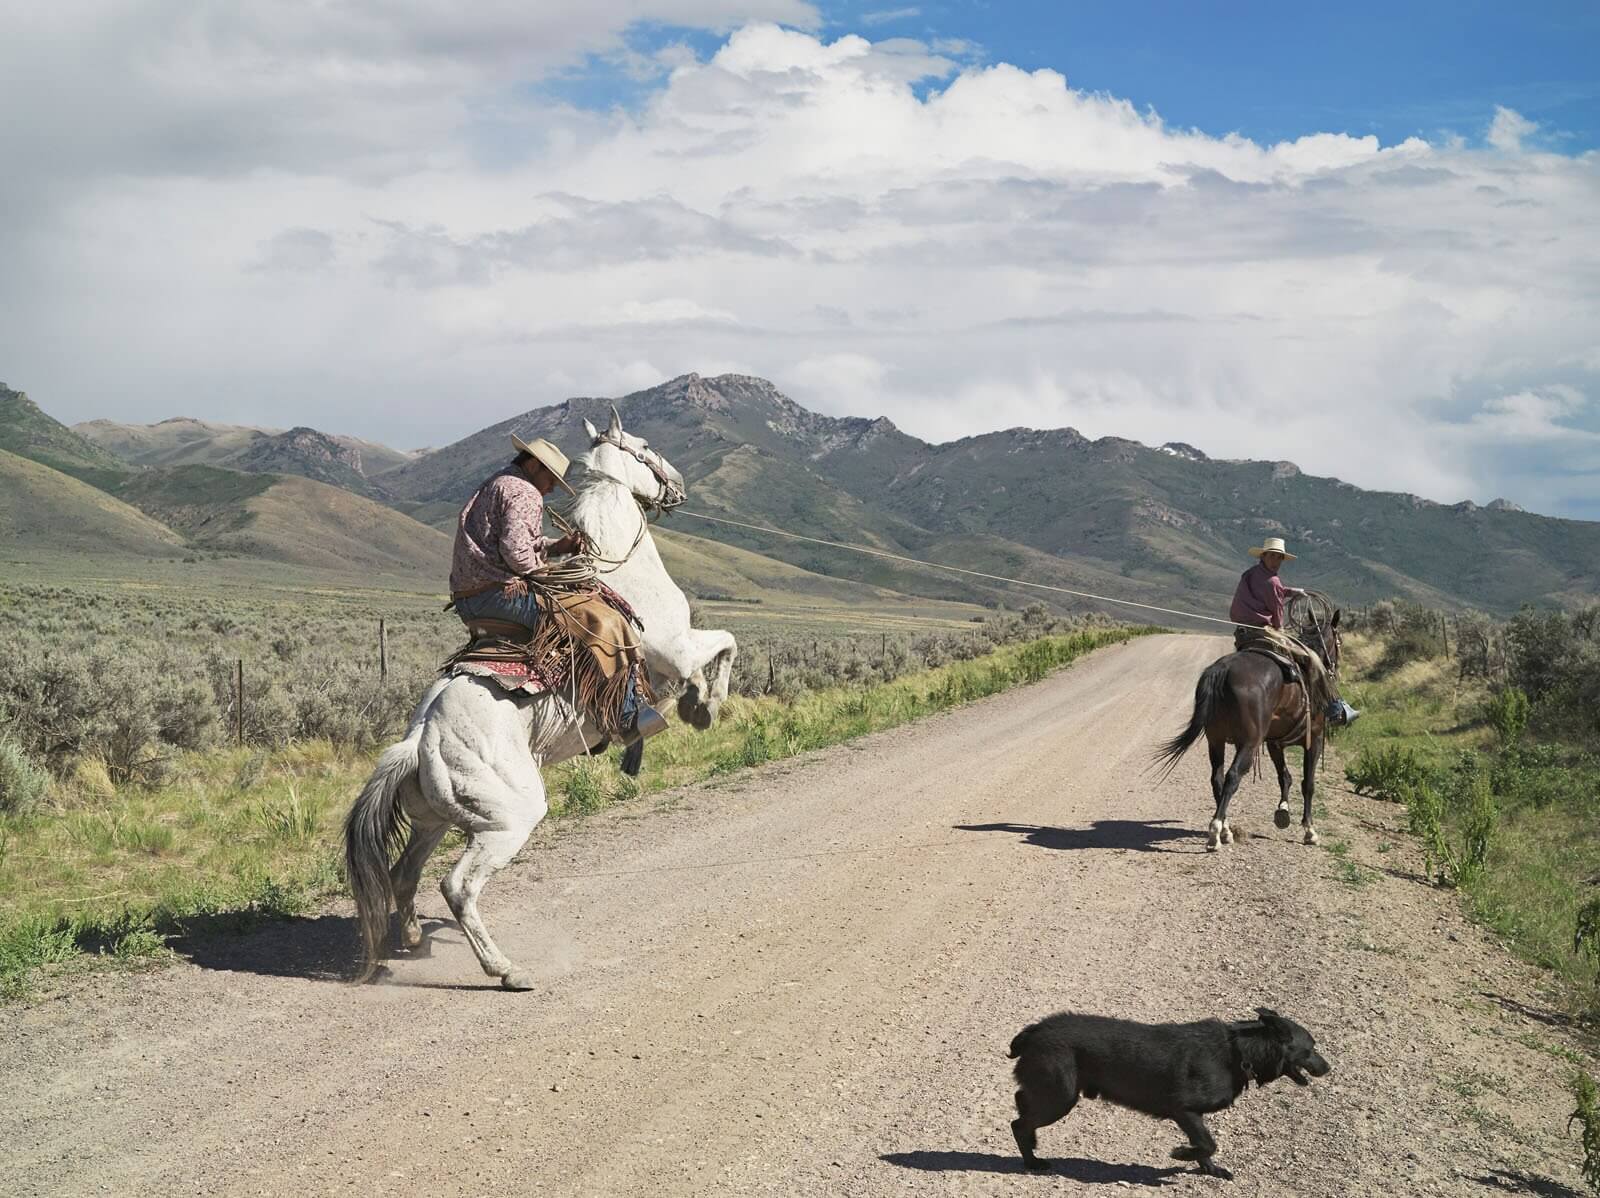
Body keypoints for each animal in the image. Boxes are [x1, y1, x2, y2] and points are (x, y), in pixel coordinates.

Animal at [347, 412, 739, 991]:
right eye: (644, 445)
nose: (677, 483)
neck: (619, 566)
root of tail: (417, 742)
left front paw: (689, 707)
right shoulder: (677, 648)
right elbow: (726, 645)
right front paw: (703, 707)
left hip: (434, 821)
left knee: (402, 874)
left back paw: (416, 940)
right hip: (506, 821)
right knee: (457, 887)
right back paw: (505, 969)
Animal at [1004, 998, 1331, 1177]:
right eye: (1311, 1049)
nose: (1329, 1068)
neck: (1239, 1052)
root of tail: (1033, 1031)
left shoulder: (1194, 1116)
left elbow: (1205, 1146)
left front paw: (1209, 1169)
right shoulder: (1184, 1110)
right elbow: (1208, 1143)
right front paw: (1181, 1154)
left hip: (1053, 1093)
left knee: (1022, 1104)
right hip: (1059, 1097)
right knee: (1019, 1123)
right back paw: (1032, 1161)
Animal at [1158, 607, 1344, 850]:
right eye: (1339, 641)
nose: (1334, 667)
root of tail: (1222, 669)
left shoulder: (1274, 742)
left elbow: (1284, 776)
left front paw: (1283, 812)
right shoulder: (1314, 739)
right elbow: (1308, 784)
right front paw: (1309, 830)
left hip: (1215, 740)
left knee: (1217, 778)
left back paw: (1226, 830)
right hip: (1248, 743)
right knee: (1232, 776)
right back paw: (1215, 832)